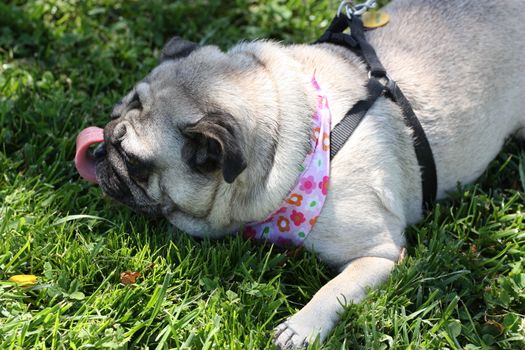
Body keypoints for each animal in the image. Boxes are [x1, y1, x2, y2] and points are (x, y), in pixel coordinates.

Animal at [78, 0, 524, 348]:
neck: (303, 145)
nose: (99, 150)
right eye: (112, 119)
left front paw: (301, 327)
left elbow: (336, 289)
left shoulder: (380, 253)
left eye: (133, 161)